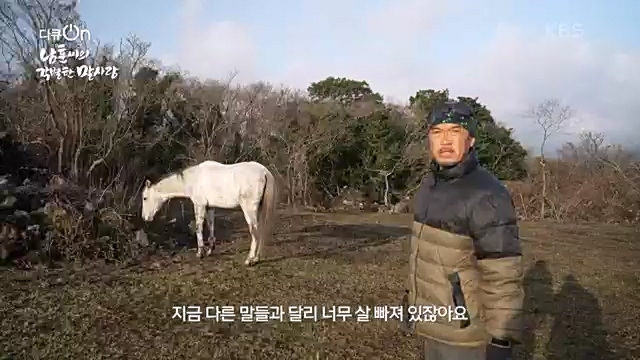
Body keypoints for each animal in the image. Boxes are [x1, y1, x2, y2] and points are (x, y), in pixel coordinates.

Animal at [141, 160, 276, 264]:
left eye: (145, 198)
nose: (145, 218)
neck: (194, 179)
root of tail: (265, 173)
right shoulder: (210, 207)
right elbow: (211, 226)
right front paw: (210, 249)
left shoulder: (199, 205)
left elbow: (199, 228)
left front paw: (200, 252)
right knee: (261, 230)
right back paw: (257, 258)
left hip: (249, 210)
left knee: (255, 231)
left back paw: (250, 259)